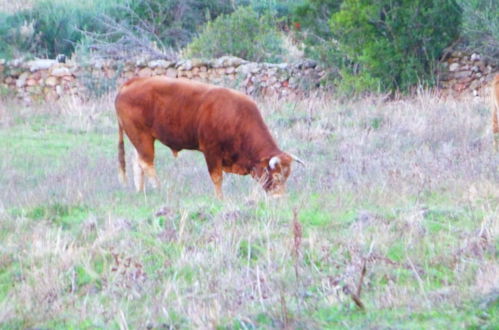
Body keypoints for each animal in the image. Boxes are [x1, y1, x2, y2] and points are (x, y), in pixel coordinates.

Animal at [115, 76, 302, 197]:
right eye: (276, 176)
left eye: (286, 176)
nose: (279, 197)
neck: (235, 115)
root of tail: (132, 82)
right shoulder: (211, 153)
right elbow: (217, 178)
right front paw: (220, 199)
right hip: (142, 137)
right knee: (146, 163)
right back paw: (159, 188)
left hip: (141, 139)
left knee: (137, 161)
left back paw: (141, 191)